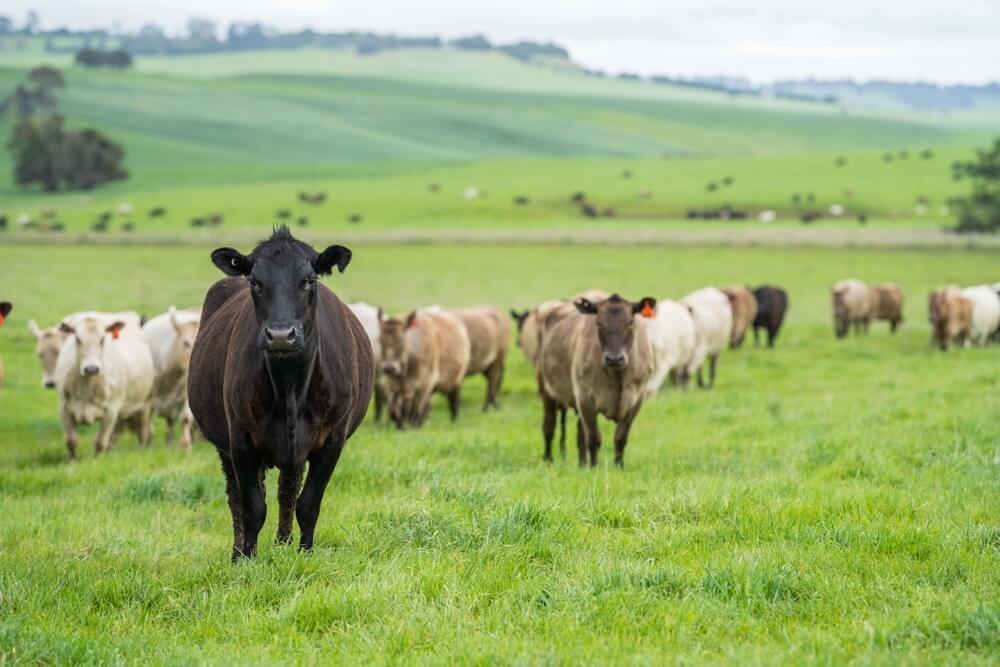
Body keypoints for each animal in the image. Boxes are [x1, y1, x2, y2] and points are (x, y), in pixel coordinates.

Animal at [55, 316, 154, 462]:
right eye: (77, 339)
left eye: (102, 339)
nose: (91, 369)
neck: (86, 387)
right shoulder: (64, 408)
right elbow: (71, 441)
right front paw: (72, 462)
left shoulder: (111, 411)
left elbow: (100, 442)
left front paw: (97, 461)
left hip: (144, 404)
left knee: (143, 432)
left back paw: (141, 452)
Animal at [188, 227, 376, 560]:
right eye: (255, 282)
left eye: (309, 280)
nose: (280, 335)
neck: (290, 385)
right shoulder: (240, 438)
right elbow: (252, 506)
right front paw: (247, 558)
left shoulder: (333, 438)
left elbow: (308, 503)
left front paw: (305, 553)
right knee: (237, 496)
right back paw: (238, 551)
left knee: (288, 488)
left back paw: (284, 541)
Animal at [540, 294, 656, 468]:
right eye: (599, 323)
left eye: (630, 323)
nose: (614, 359)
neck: (617, 377)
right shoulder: (585, 399)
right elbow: (594, 438)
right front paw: (594, 467)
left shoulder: (636, 401)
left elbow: (620, 438)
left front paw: (619, 467)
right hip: (546, 390)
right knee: (549, 428)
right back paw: (549, 460)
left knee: (580, 434)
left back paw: (582, 464)